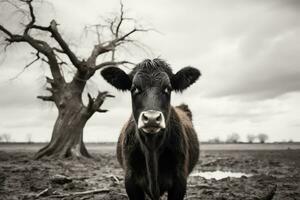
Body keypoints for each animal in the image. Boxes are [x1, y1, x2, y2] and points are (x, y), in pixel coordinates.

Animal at [101, 58, 202, 199]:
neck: (152, 148)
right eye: (134, 88)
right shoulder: (131, 181)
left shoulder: (180, 181)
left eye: (168, 88)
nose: (152, 118)